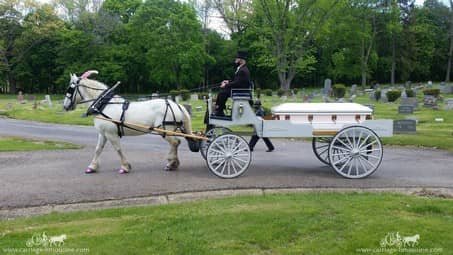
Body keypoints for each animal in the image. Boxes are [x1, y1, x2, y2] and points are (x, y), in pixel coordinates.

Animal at [61, 69, 192, 173]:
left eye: (70, 89)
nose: (65, 106)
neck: (104, 105)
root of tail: (176, 105)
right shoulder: (103, 133)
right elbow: (98, 149)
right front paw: (92, 167)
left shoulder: (111, 134)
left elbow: (118, 149)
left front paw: (125, 167)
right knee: (176, 143)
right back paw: (173, 163)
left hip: (165, 130)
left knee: (175, 143)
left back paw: (171, 163)